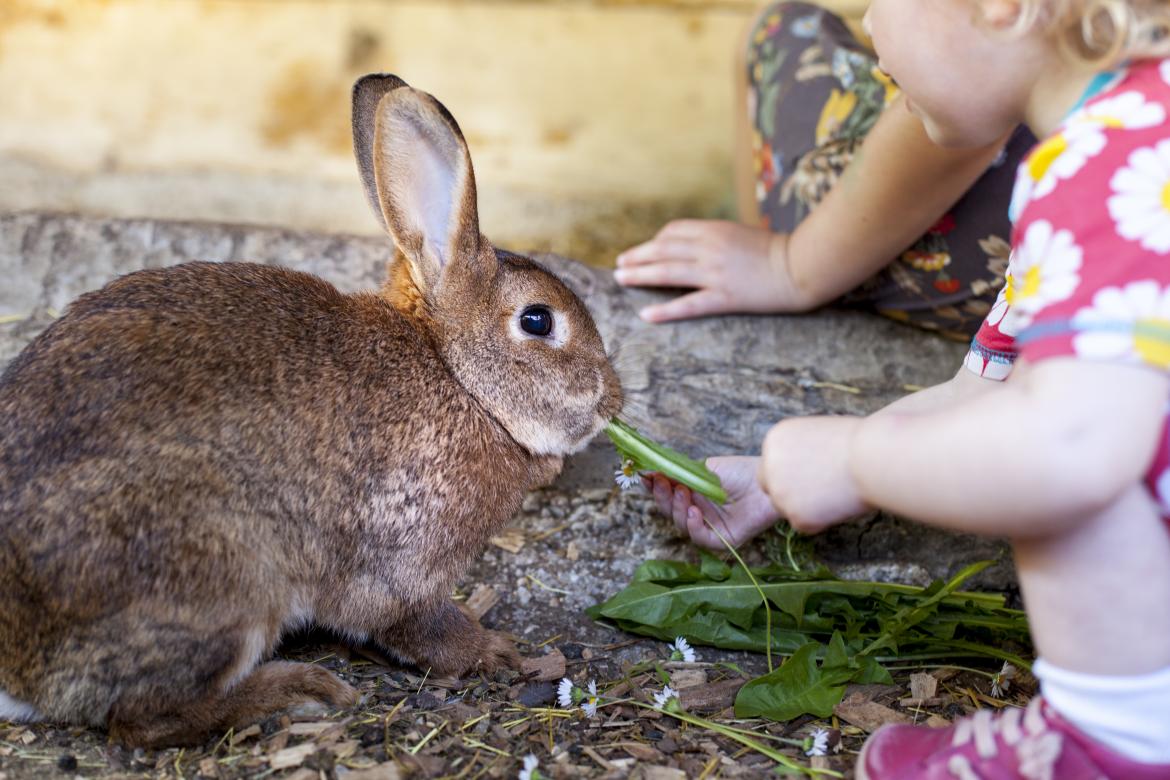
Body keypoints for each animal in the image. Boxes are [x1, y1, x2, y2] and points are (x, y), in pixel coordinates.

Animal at [0, 74, 622, 748]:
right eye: (538, 320)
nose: (612, 400)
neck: (456, 377)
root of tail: (17, 670)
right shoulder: (403, 561)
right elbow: (420, 625)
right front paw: (497, 652)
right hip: (225, 581)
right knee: (146, 718)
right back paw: (297, 691)